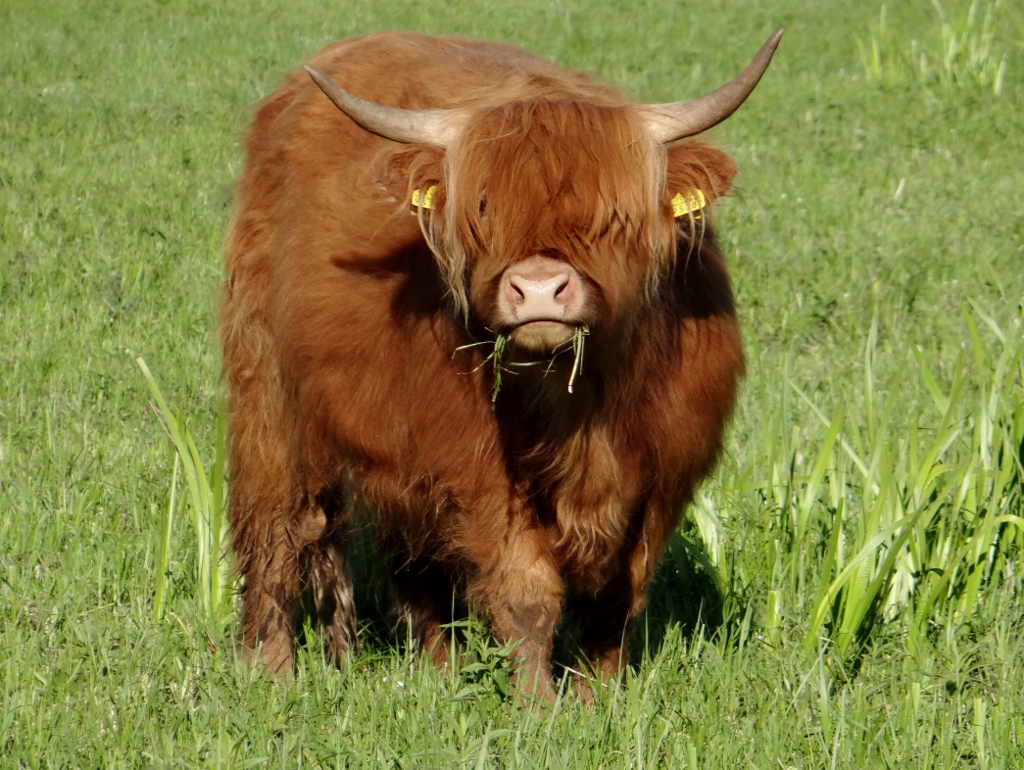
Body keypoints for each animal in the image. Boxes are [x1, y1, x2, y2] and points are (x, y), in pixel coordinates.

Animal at [218, 29, 782, 698]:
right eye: (483, 207)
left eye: (614, 215)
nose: (538, 290)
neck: (578, 408)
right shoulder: (480, 469)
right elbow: (526, 592)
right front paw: (539, 706)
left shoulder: (663, 475)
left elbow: (619, 598)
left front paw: (601, 699)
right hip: (268, 387)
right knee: (281, 523)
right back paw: (271, 670)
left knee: (408, 556)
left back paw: (426, 669)